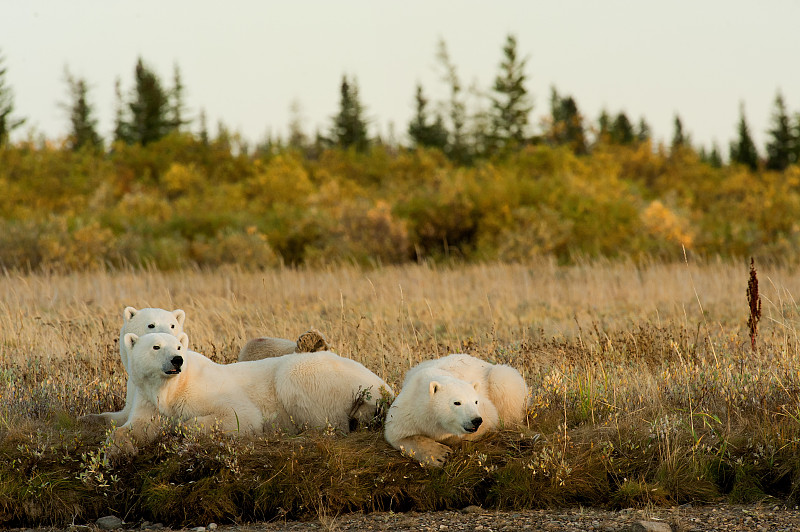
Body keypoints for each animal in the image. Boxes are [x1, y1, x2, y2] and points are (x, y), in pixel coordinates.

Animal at [109, 332, 396, 454]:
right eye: (156, 346)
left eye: (179, 346)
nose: (177, 360)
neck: (171, 388)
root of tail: (383, 387)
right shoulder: (149, 400)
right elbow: (136, 427)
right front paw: (118, 450)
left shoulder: (208, 390)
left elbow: (241, 416)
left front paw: (179, 430)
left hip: (320, 375)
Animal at [384, 354, 528, 466]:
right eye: (457, 402)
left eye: (475, 401)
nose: (476, 420)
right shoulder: (408, 410)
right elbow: (399, 437)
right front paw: (439, 454)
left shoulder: (484, 410)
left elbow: (490, 419)